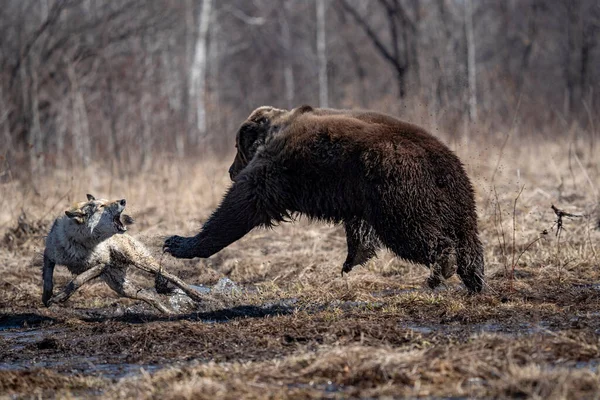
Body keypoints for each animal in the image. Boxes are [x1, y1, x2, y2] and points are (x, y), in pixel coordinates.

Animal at [166, 104, 486, 292]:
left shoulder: (277, 167)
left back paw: (441, 268)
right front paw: (353, 258)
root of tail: (441, 161)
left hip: (399, 188)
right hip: (457, 197)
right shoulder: (355, 189)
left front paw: (178, 242)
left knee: (412, 232)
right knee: (469, 239)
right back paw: (475, 278)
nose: (231, 170)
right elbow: (358, 227)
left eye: (236, 146)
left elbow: (241, 205)